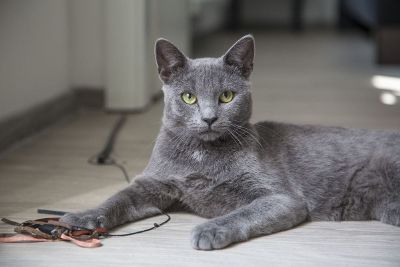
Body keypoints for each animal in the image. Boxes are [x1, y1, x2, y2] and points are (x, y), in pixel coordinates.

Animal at [60, 34, 400, 250]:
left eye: (226, 96)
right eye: (189, 97)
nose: (209, 118)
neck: (201, 155)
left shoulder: (282, 198)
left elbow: (243, 212)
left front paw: (210, 230)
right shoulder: (152, 183)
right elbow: (117, 198)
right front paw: (81, 216)